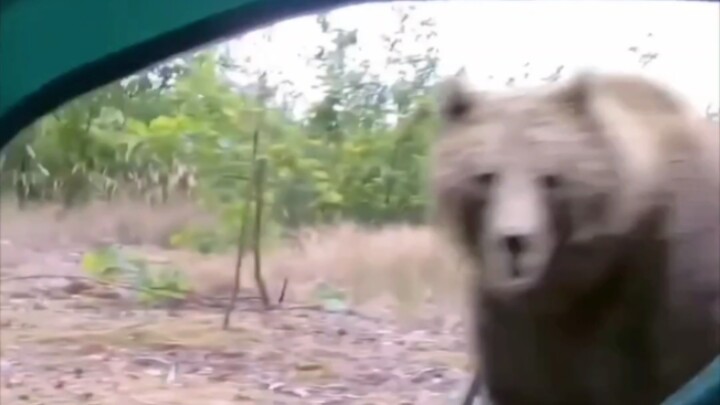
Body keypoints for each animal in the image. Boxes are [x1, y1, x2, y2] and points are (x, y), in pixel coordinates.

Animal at [429, 71, 719, 405]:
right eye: (486, 177)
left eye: (550, 178)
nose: (515, 241)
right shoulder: (513, 320)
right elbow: (525, 382)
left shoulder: (667, 282)